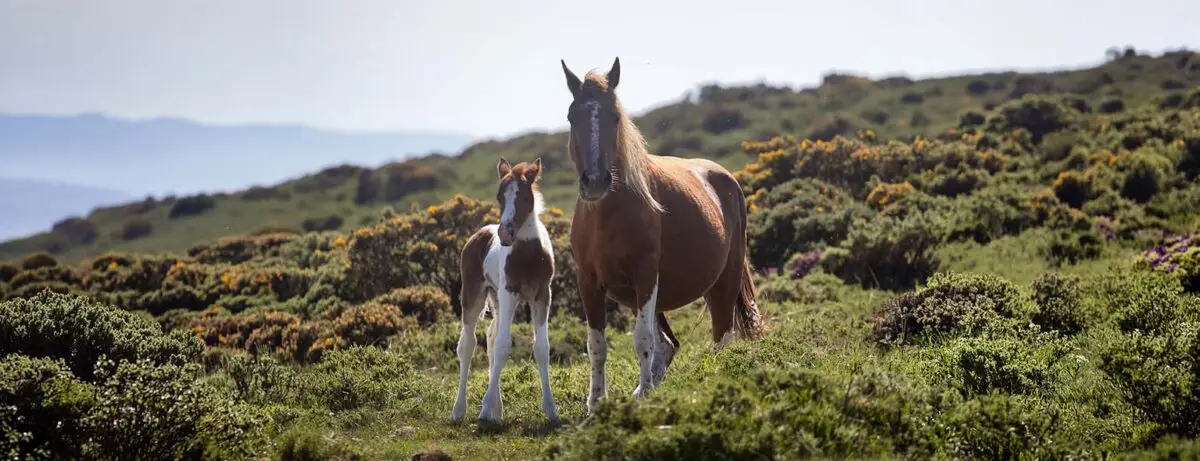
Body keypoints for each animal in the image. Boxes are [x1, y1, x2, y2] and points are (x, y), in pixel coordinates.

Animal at [452, 157, 560, 424]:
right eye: (499, 196)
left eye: (524, 196)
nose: (505, 234)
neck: (529, 255)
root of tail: (480, 233)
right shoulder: (510, 291)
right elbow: (503, 347)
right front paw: (484, 409)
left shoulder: (542, 295)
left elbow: (541, 349)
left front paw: (551, 410)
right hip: (474, 296)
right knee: (467, 345)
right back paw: (460, 410)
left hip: (498, 299)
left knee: (490, 338)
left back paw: (497, 410)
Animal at [559, 57, 765, 412]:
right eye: (573, 117)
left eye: (615, 117)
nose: (595, 181)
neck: (607, 216)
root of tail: (725, 177)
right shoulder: (588, 282)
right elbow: (597, 344)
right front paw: (596, 402)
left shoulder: (645, 277)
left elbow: (642, 340)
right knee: (669, 343)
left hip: (722, 283)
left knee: (721, 337)